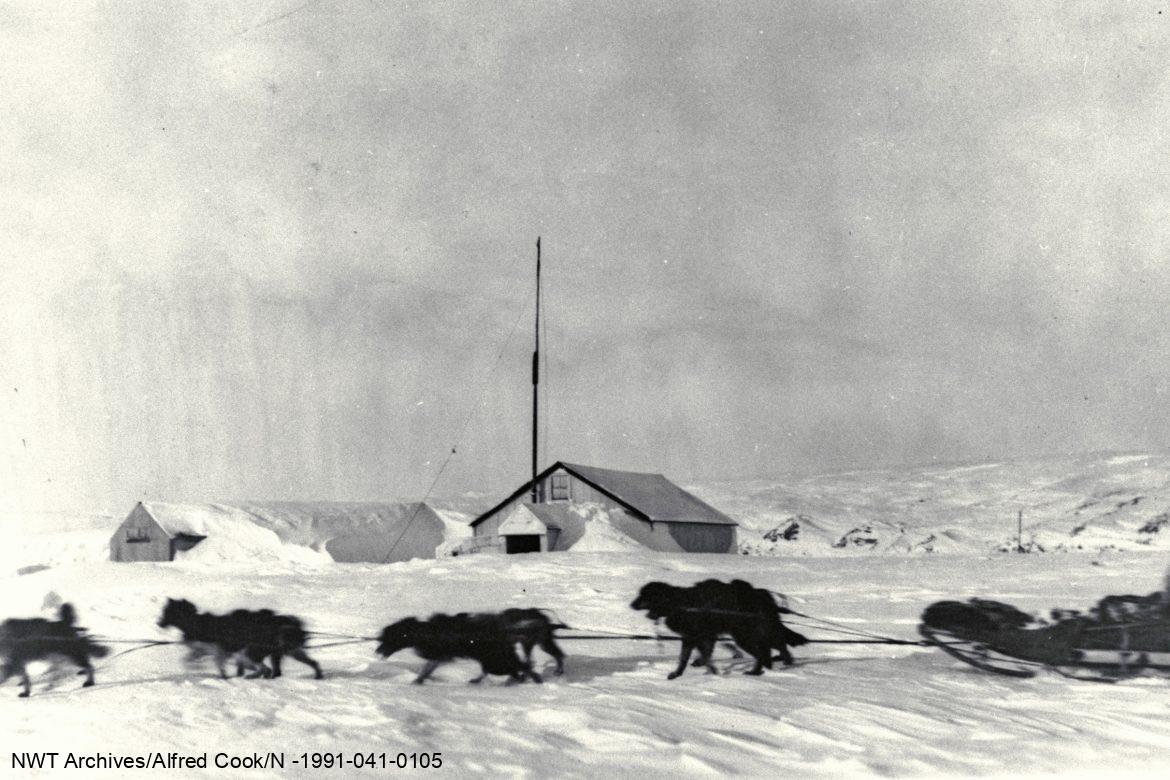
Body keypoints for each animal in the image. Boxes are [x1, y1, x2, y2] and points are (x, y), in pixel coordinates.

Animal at [157, 603, 325, 678]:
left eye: (166, 611)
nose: (159, 623)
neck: (195, 622)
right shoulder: (205, 651)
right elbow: (189, 660)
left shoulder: (220, 651)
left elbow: (218, 664)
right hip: (290, 651)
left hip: (258, 652)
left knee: (268, 669)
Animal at [376, 612, 545, 687]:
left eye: (386, 638)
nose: (376, 651)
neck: (422, 631)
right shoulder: (438, 657)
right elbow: (427, 670)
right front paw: (420, 680)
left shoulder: (438, 656)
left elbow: (426, 669)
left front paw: (418, 681)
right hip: (493, 661)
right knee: (518, 668)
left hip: (495, 662)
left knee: (522, 667)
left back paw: (533, 680)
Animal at [631, 577, 804, 678]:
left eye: (643, 595)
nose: (631, 605)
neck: (677, 603)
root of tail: (762, 595)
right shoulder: (697, 637)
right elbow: (691, 657)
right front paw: (680, 673)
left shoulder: (696, 636)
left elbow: (700, 656)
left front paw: (707, 670)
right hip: (756, 633)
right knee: (774, 647)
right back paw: (778, 663)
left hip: (745, 636)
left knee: (766, 651)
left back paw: (758, 671)